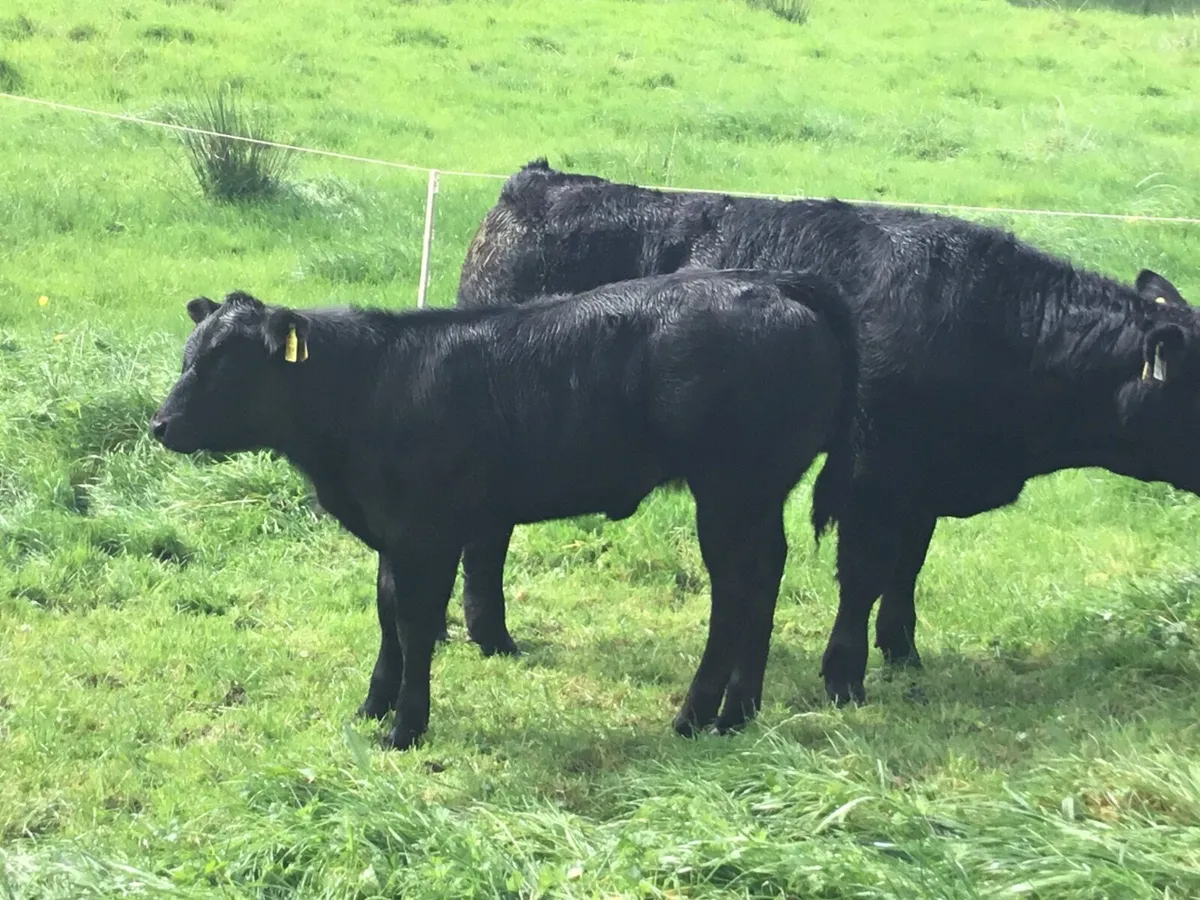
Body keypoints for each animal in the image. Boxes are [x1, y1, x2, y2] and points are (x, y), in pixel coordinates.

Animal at [149, 269, 859, 748]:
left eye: (226, 366)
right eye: (188, 356)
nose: (160, 425)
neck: (372, 388)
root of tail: (777, 286)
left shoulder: (427, 533)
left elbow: (414, 624)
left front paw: (405, 728)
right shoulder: (394, 533)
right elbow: (386, 615)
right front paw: (372, 709)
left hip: (729, 488)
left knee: (735, 589)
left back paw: (694, 716)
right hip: (760, 491)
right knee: (766, 576)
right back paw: (740, 712)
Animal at [450, 157, 1198, 708]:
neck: (1000, 327)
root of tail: (538, 182)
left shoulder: (919, 485)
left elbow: (908, 567)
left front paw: (904, 654)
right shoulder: (872, 472)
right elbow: (864, 572)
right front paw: (845, 676)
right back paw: (493, 637)